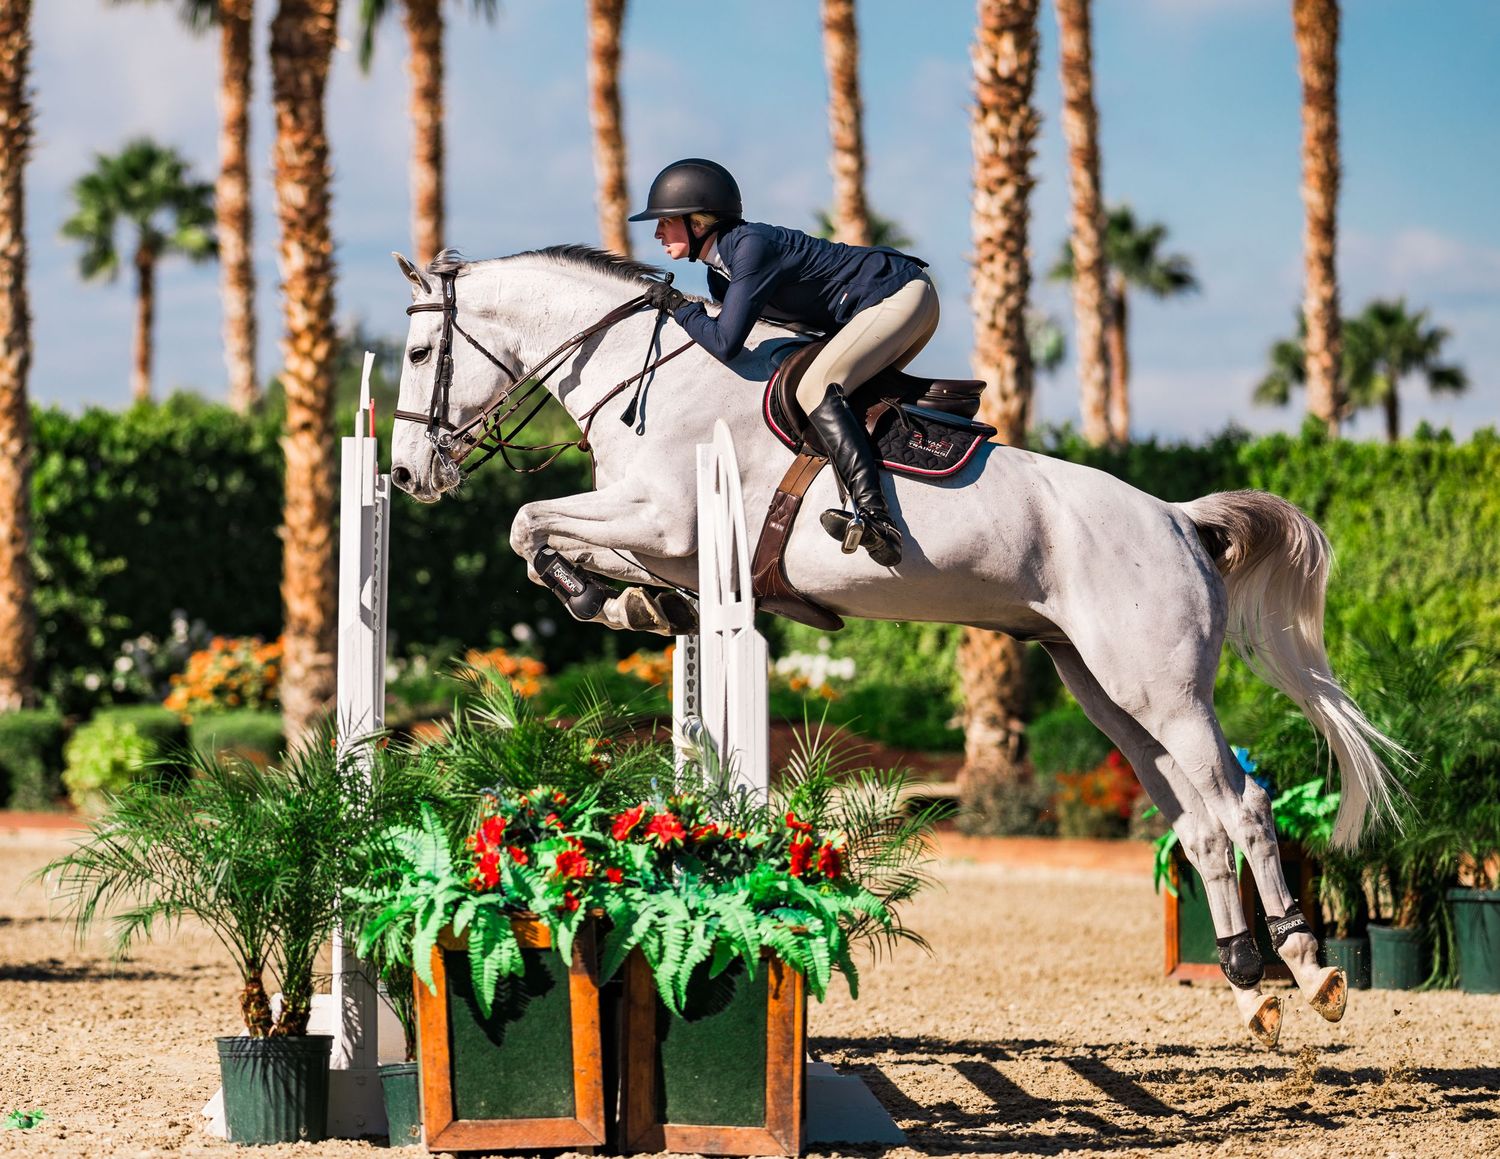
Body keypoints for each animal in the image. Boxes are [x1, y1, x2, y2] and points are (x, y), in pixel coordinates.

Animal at [388, 244, 1398, 1049]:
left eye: (417, 352)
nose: (404, 474)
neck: (648, 380)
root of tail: (1181, 518)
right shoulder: (663, 536)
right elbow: (544, 534)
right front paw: (630, 603)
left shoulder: (665, 516)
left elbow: (526, 520)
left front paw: (600, 596)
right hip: (1108, 692)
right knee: (1199, 827)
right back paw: (1248, 991)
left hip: (1166, 692)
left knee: (1245, 807)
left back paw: (1311, 970)